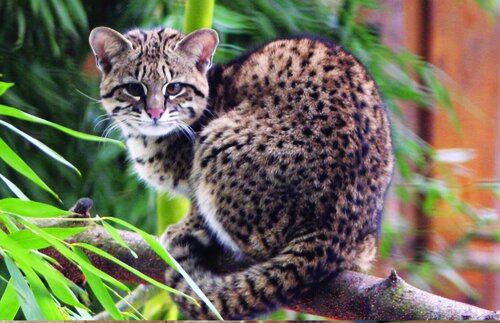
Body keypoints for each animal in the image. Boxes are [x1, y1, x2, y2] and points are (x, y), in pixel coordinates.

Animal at [89, 26, 394, 320]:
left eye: (174, 87)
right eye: (133, 88)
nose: (155, 112)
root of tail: (332, 233)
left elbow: (196, 206)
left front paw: (184, 228)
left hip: (218, 143)